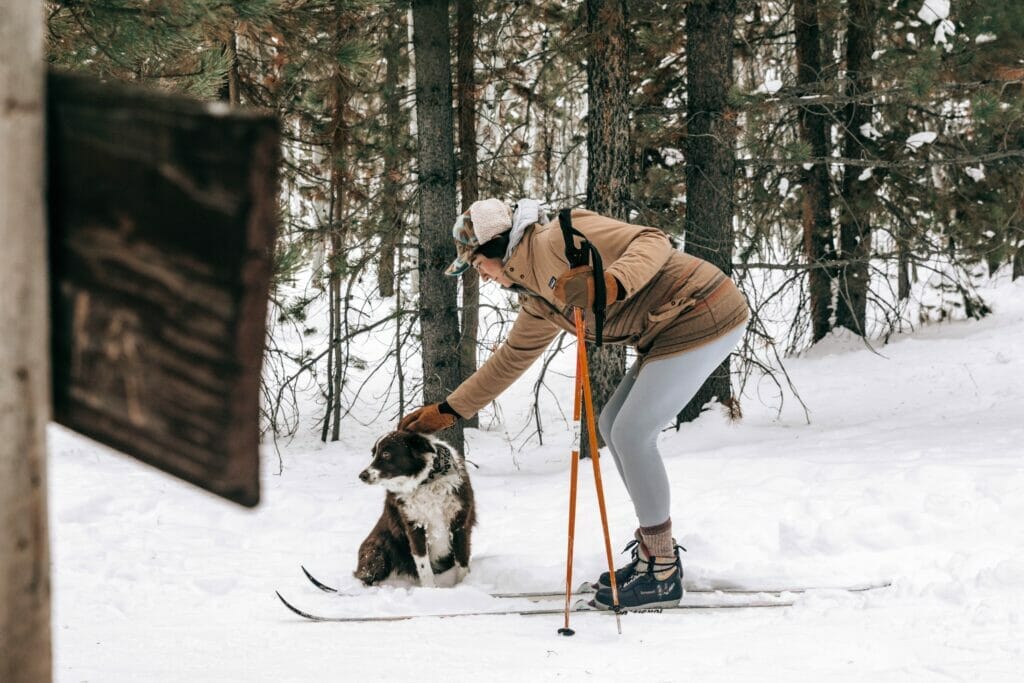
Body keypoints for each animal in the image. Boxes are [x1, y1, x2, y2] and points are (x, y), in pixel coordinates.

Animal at [356, 432, 475, 589]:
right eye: (373, 454)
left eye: (386, 453)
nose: (362, 476)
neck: (427, 482)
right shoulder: (414, 526)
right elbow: (424, 566)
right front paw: (430, 590)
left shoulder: (460, 524)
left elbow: (462, 562)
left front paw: (463, 586)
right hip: (379, 546)